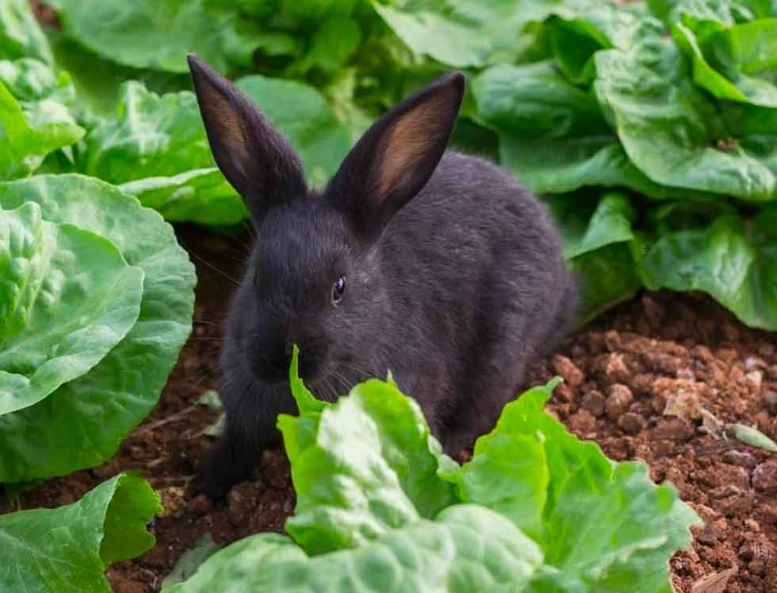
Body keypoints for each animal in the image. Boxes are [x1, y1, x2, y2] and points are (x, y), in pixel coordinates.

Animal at [187, 54, 579, 500]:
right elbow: (237, 445)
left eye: (339, 288)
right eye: (255, 276)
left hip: (503, 349)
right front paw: (208, 484)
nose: (281, 358)